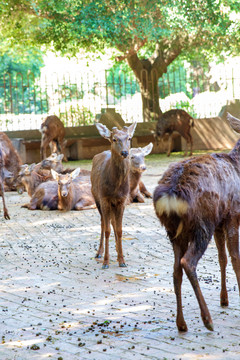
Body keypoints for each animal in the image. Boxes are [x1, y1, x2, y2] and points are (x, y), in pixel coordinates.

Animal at [91, 122, 137, 268]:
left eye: (129, 138)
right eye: (114, 139)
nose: (125, 152)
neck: (116, 188)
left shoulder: (122, 200)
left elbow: (119, 229)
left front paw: (122, 260)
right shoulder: (104, 199)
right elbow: (107, 230)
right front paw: (106, 262)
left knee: (112, 223)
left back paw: (117, 251)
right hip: (96, 197)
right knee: (102, 223)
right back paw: (99, 253)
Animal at [153, 112, 240, 332]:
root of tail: (171, 195)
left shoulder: (220, 222)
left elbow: (222, 258)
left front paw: (224, 300)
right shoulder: (233, 214)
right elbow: (235, 257)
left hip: (175, 232)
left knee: (176, 269)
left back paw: (181, 323)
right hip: (202, 224)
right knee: (188, 262)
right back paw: (207, 320)